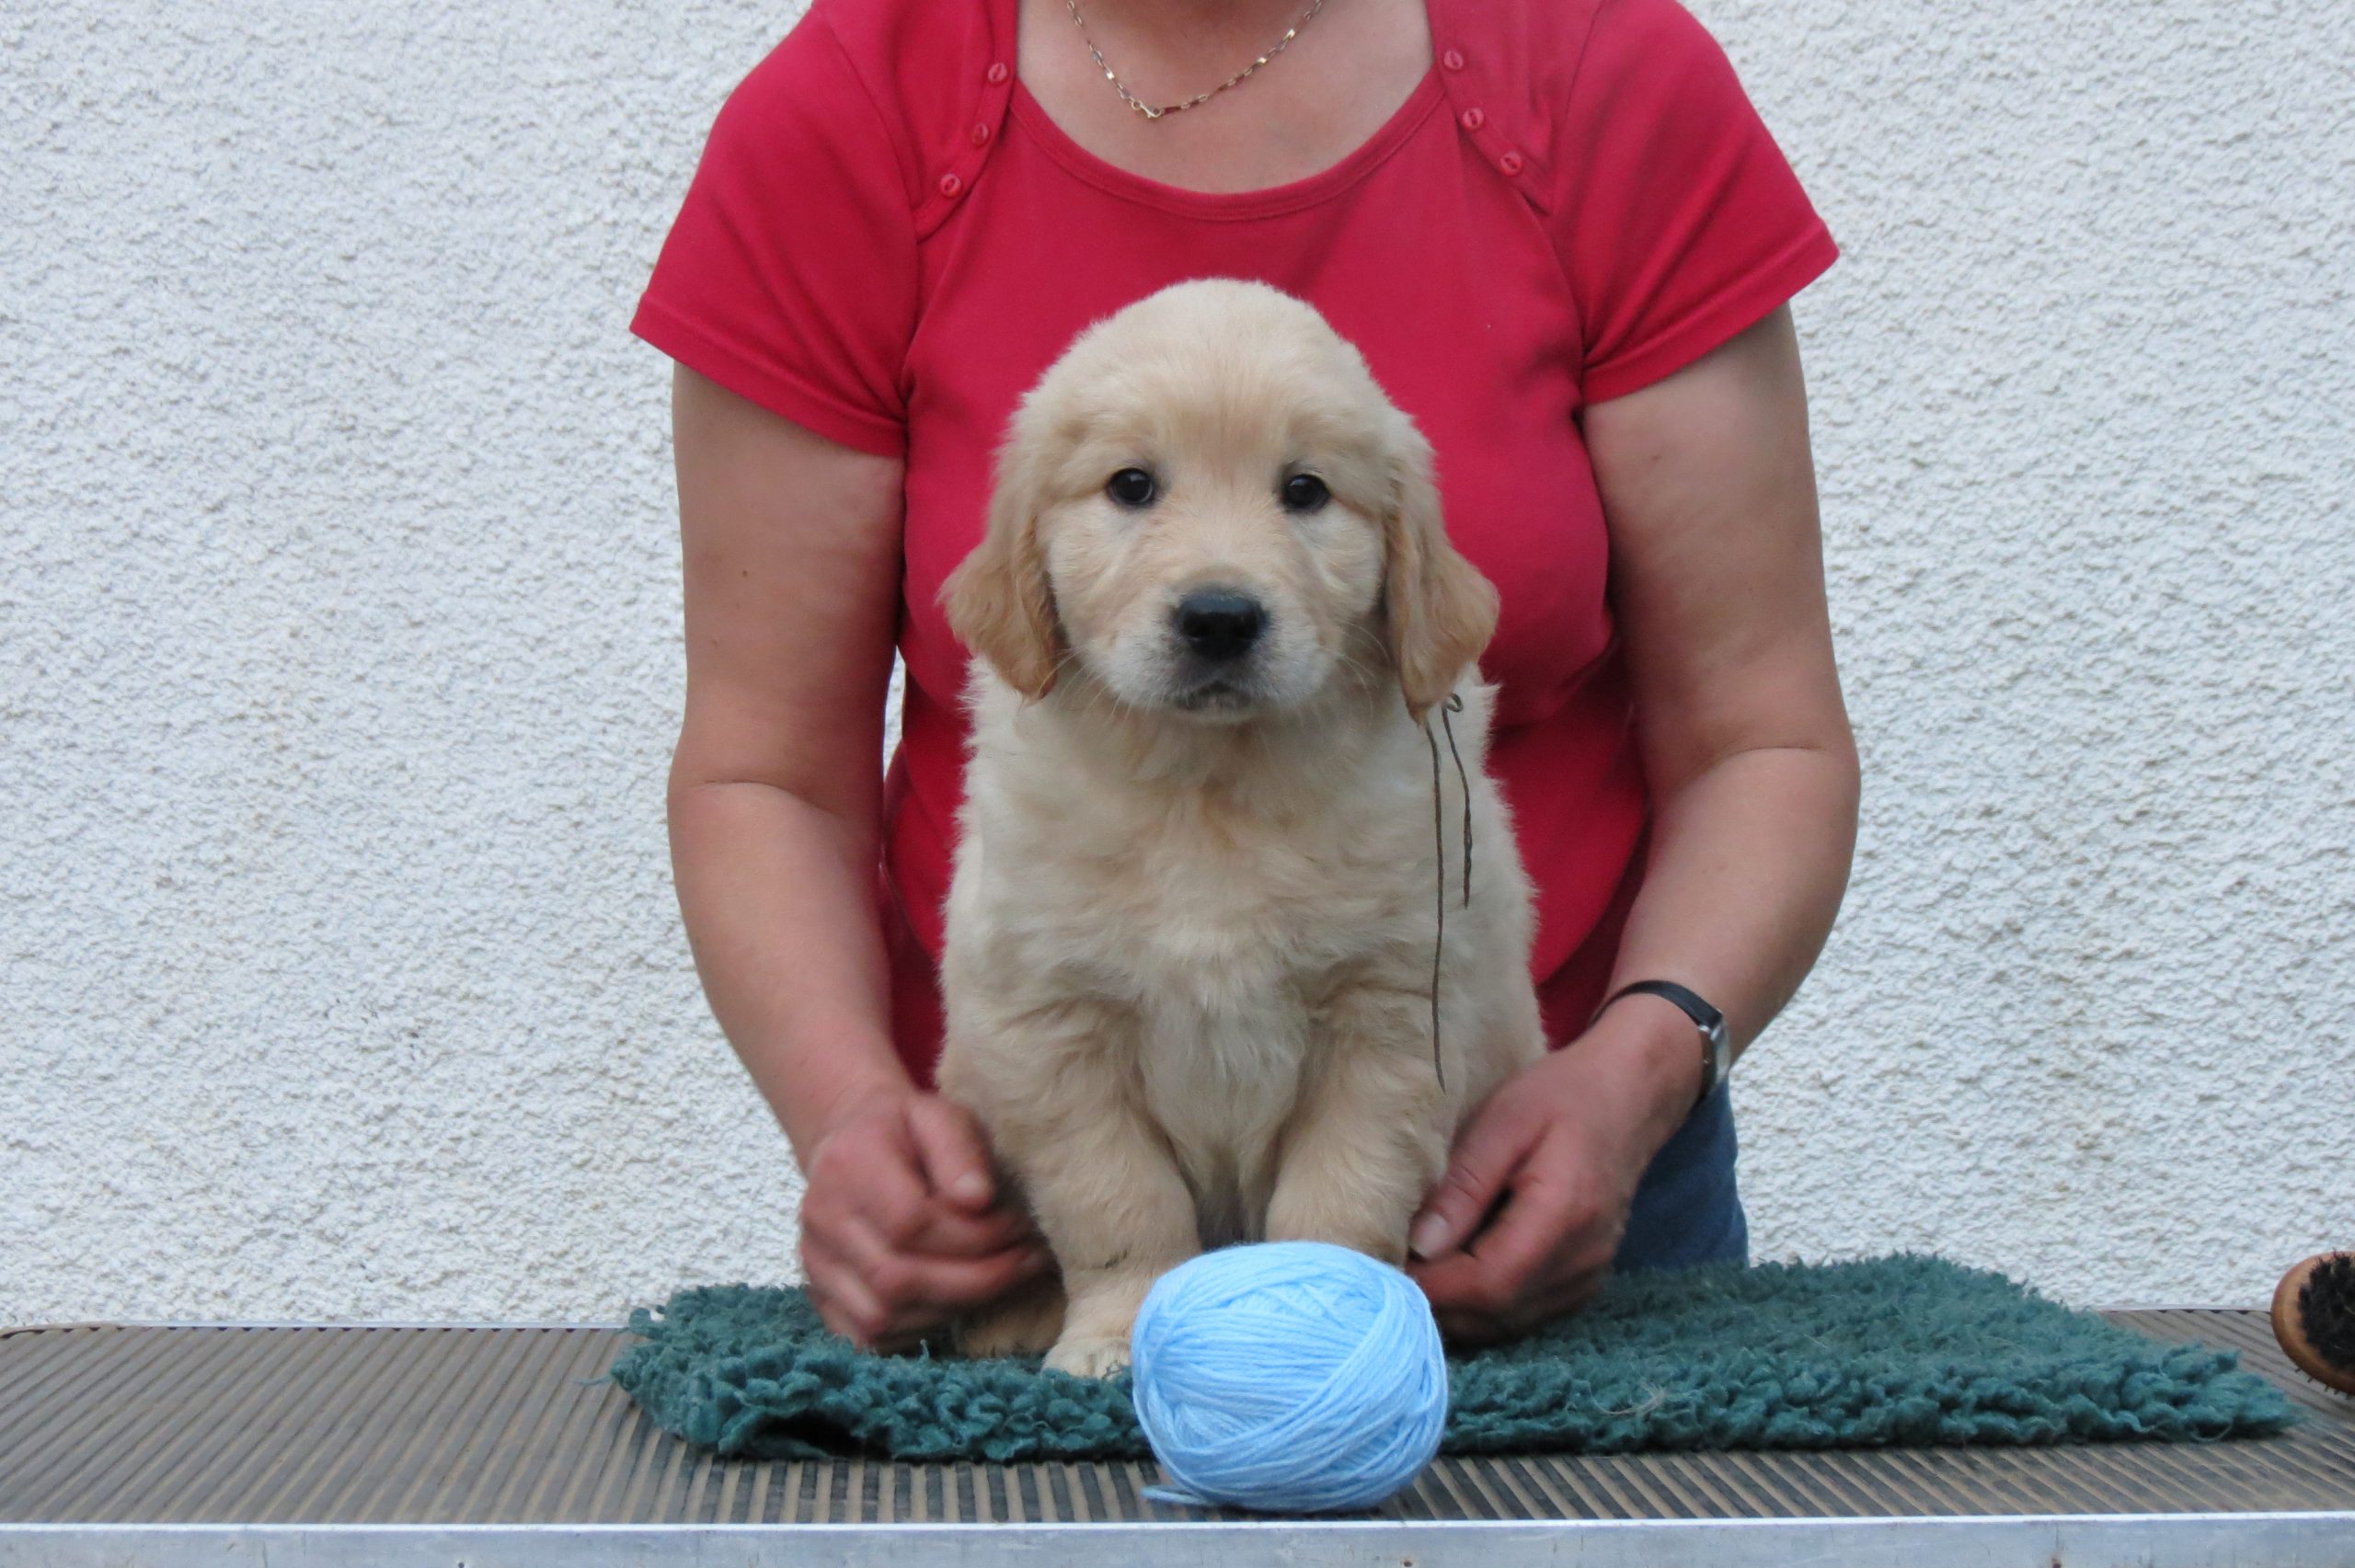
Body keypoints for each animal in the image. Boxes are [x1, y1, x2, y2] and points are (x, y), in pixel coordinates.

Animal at [936, 278, 1545, 1365]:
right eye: (1132, 486)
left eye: (1304, 491)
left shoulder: (1392, 1011)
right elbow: (1117, 1200)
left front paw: (1322, 1326)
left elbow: (1340, 1195)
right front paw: (1115, 1332)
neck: (1209, 785)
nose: (1219, 618)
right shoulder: (1052, 1024)